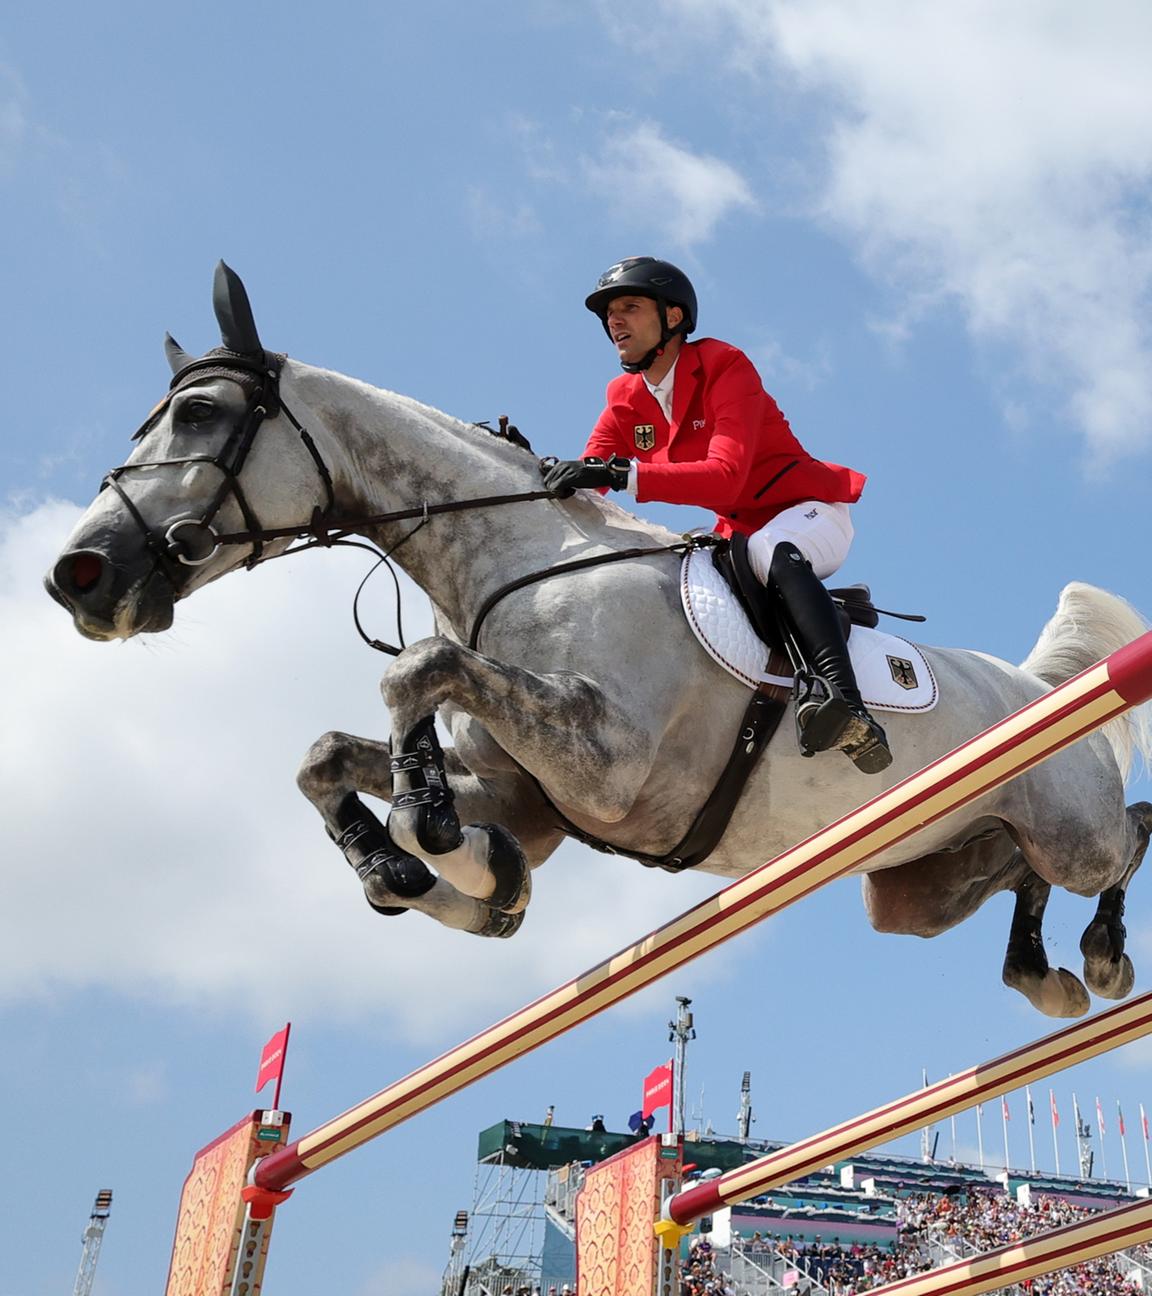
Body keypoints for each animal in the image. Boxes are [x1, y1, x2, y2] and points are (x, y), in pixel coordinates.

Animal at [45, 263, 1150, 1016]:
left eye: (200, 413)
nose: (77, 576)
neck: (520, 559)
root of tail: (1034, 688)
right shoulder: (529, 793)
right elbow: (331, 756)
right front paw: (433, 873)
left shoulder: (613, 763)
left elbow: (419, 673)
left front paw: (433, 839)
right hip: (928, 879)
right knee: (1016, 878)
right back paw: (1043, 975)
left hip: (1070, 825)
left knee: (1126, 833)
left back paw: (1098, 958)